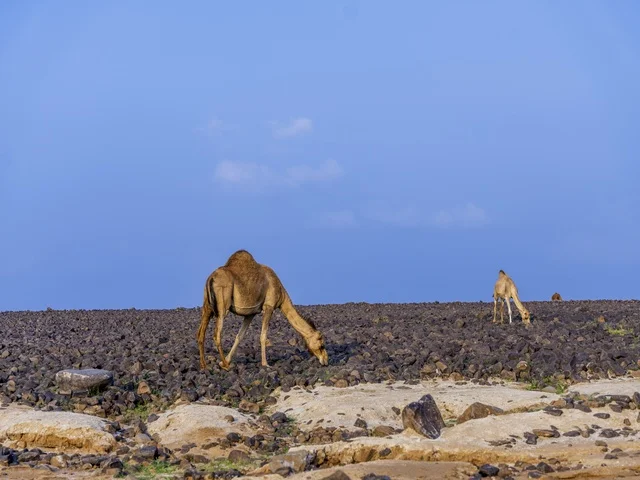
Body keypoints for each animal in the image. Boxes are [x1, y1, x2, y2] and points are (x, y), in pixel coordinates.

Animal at [196, 249, 329, 371]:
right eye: (322, 345)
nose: (326, 360)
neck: (282, 295)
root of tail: (211, 278)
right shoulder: (269, 307)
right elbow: (263, 336)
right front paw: (265, 364)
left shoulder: (250, 313)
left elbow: (240, 336)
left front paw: (224, 361)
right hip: (222, 305)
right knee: (217, 334)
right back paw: (226, 366)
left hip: (207, 306)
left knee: (200, 333)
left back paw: (204, 365)